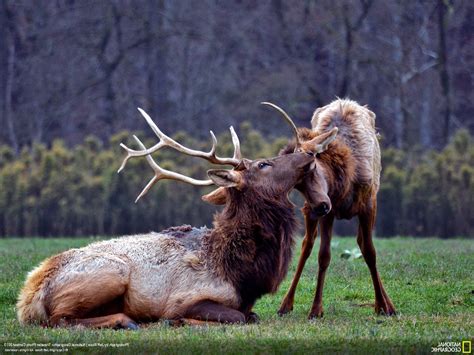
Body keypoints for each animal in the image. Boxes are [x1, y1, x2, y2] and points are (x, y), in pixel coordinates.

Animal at [16, 108, 318, 328]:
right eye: (264, 164)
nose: (306, 154)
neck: (242, 274)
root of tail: (27, 299)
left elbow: (251, 315)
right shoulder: (185, 297)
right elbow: (238, 317)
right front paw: (177, 321)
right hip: (112, 272)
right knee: (60, 319)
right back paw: (127, 321)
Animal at [206, 100, 394, 320]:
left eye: (312, 161)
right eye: (297, 185)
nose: (321, 205)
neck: (345, 181)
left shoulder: (368, 204)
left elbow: (370, 252)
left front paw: (382, 305)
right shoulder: (324, 214)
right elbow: (323, 255)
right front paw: (316, 309)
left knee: (361, 243)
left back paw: (388, 303)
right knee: (307, 245)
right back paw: (286, 304)